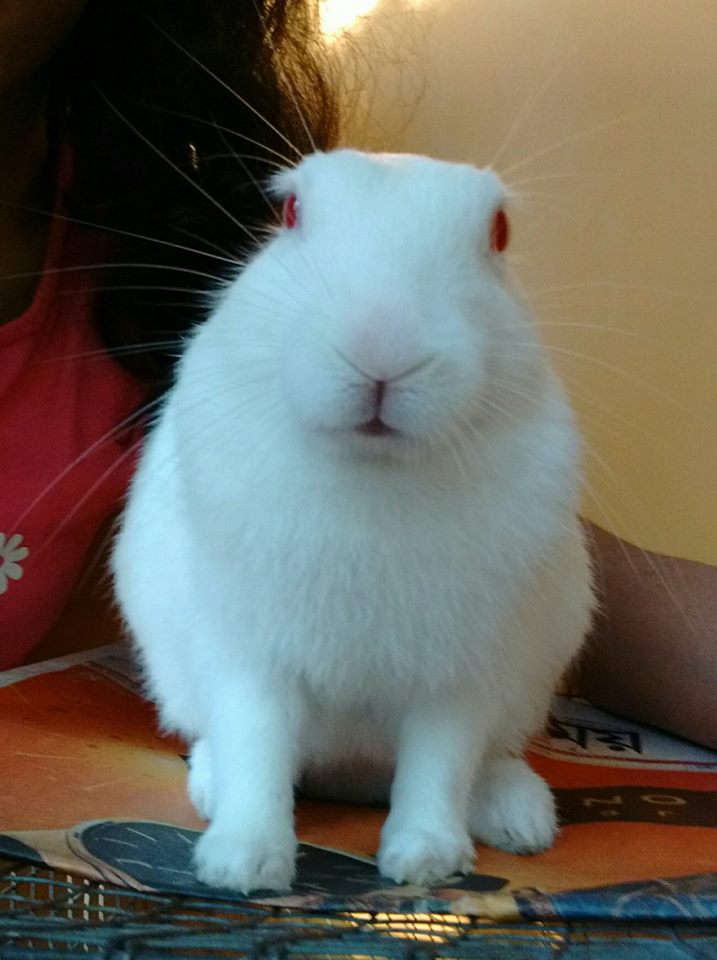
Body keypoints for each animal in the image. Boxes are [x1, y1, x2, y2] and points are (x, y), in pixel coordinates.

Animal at [112, 148, 594, 894]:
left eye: (499, 232)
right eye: (289, 212)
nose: (382, 351)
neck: (373, 465)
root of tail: (354, 778)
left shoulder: (459, 674)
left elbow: (439, 762)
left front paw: (424, 860)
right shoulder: (249, 656)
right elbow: (256, 744)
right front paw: (243, 864)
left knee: (486, 759)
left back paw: (522, 819)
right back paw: (212, 789)